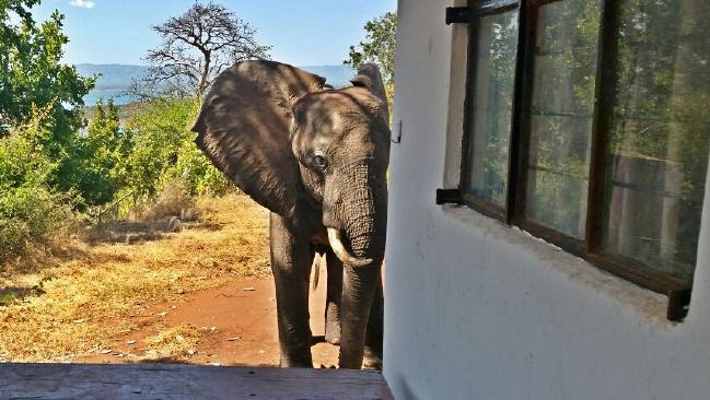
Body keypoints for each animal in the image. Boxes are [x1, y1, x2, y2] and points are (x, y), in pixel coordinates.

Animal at [191, 60, 390, 369]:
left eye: (388, 156)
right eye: (320, 161)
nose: (332, 368)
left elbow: (365, 263)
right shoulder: (280, 179)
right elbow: (290, 261)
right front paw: (297, 369)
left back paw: (335, 338)